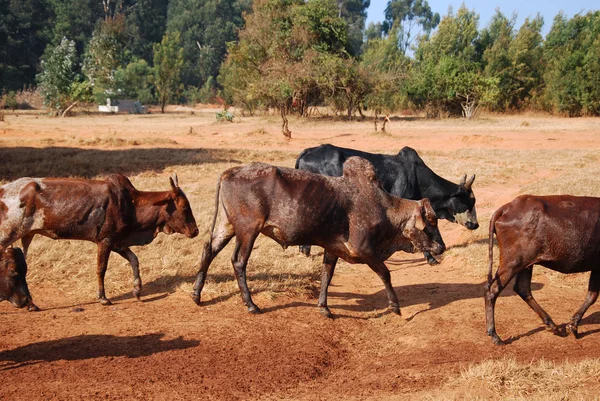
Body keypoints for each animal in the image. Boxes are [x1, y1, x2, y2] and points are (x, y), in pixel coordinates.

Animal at [0, 173, 199, 304]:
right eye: (183, 206)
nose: (195, 231)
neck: (130, 204)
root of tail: (3, 189)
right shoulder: (105, 241)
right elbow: (101, 269)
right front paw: (103, 297)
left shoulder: (118, 242)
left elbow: (134, 260)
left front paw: (137, 290)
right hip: (7, 235)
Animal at [192, 156, 446, 316]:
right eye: (431, 221)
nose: (441, 247)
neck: (382, 206)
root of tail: (230, 171)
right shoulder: (365, 249)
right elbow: (385, 273)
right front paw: (394, 306)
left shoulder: (332, 249)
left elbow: (326, 276)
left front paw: (324, 307)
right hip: (248, 230)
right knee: (238, 262)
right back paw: (251, 305)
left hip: (227, 226)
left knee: (208, 250)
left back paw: (196, 294)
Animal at [486, 194, 600, 344]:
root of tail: (508, 207)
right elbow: (592, 296)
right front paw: (573, 326)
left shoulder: (596, 268)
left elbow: (591, 295)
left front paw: (573, 325)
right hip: (512, 263)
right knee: (492, 291)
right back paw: (494, 335)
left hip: (525, 265)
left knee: (522, 288)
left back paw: (552, 325)